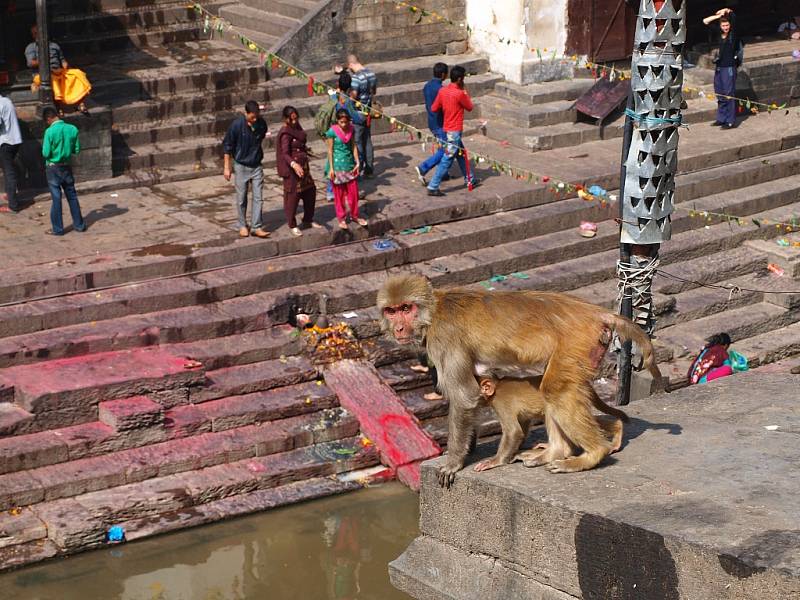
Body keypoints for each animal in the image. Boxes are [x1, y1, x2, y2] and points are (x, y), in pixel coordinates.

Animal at [472, 376, 628, 474]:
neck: (497, 386)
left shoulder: (500, 403)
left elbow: (514, 431)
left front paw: (494, 461)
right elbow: (523, 424)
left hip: (570, 398)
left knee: (552, 408)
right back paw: (617, 427)